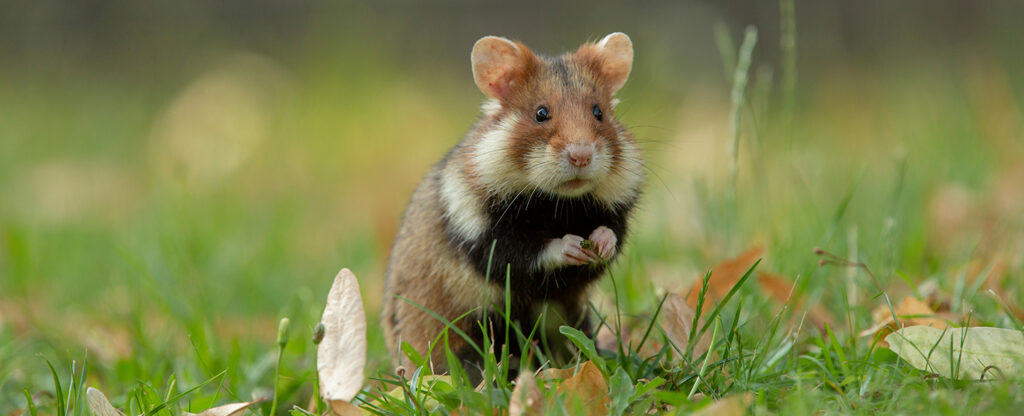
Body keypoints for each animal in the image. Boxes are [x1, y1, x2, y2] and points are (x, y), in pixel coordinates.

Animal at [380, 31, 643, 370]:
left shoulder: (614, 213)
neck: (558, 202)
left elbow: (611, 236)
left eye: (598, 112)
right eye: (541, 113)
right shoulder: (484, 235)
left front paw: (601, 242)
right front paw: (572, 245)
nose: (581, 156)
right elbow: (525, 254)